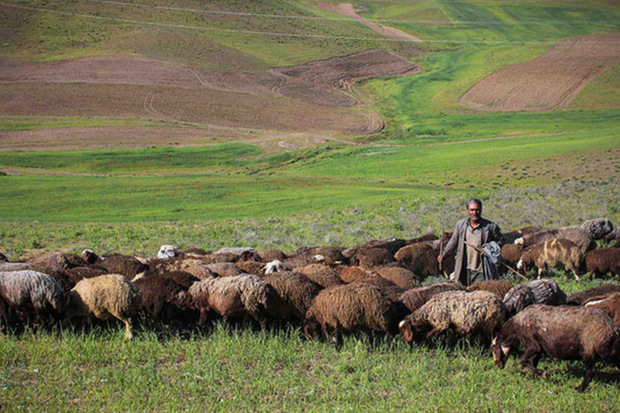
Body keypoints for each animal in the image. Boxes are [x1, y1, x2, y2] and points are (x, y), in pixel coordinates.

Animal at [490, 304, 620, 392]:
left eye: (493, 347)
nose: (497, 364)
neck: (516, 326)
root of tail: (612, 328)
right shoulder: (539, 349)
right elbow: (533, 362)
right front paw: (533, 377)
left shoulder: (533, 345)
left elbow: (522, 360)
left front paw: (542, 374)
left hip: (591, 350)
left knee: (591, 371)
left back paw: (579, 388)